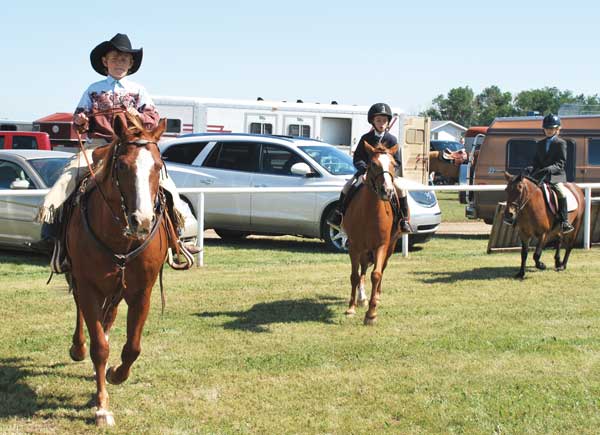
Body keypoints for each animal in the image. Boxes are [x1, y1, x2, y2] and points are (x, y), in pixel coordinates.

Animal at [65, 114, 171, 428]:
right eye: (122, 166)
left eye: (158, 166)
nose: (143, 221)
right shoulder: (88, 286)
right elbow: (99, 347)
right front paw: (102, 408)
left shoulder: (142, 292)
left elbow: (132, 347)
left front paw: (115, 374)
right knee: (84, 318)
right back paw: (78, 348)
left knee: (108, 317)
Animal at [340, 141, 400, 326]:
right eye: (373, 164)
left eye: (394, 164)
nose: (387, 191)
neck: (369, 212)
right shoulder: (354, 246)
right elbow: (354, 275)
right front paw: (351, 308)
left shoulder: (381, 246)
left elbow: (376, 274)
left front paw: (371, 314)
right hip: (364, 250)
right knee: (363, 269)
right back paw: (361, 298)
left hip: (390, 247)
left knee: (381, 269)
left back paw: (377, 296)